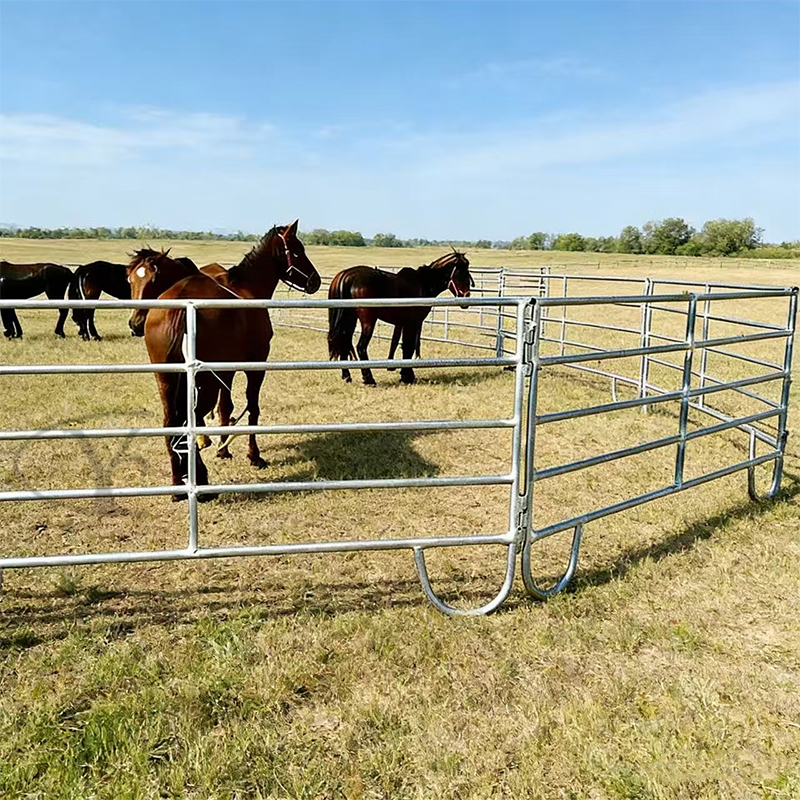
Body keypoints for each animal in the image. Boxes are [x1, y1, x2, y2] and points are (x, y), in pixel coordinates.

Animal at [140, 221, 320, 498]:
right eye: (298, 250)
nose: (315, 280)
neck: (248, 288)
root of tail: (181, 305)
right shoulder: (255, 366)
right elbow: (253, 408)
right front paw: (254, 456)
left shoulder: (226, 371)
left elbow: (226, 407)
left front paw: (223, 449)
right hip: (202, 385)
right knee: (188, 422)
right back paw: (200, 482)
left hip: (167, 381)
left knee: (172, 423)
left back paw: (178, 484)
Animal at [327, 251, 472, 385]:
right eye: (460, 272)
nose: (466, 297)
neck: (423, 284)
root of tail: (347, 276)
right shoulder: (413, 323)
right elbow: (409, 347)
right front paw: (407, 376)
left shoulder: (404, 323)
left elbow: (405, 346)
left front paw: (405, 374)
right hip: (368, 321)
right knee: (361, 347)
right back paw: (369, 379)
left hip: (349, 320)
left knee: (344, 342)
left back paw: (346, 376)